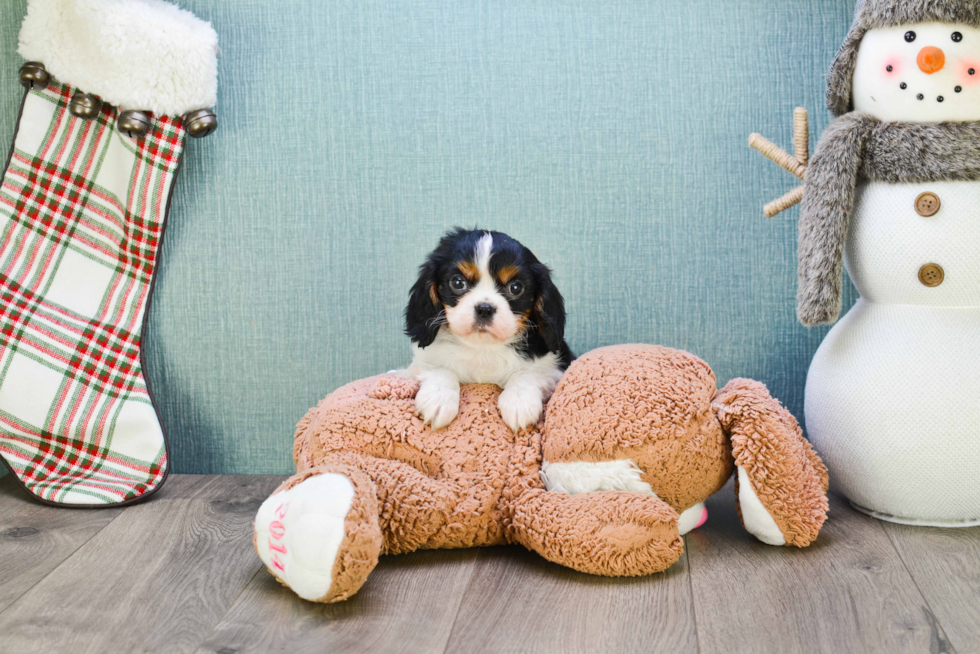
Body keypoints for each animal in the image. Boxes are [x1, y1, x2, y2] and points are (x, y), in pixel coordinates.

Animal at [404, 228, 576, 434]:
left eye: (515, 287)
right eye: (458, 282)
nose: (484, 308)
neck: (483, 347)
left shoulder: (554, 370)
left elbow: (529, 374)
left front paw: (519, 403)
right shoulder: (417, 365)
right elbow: (440, 369)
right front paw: (438, 399)